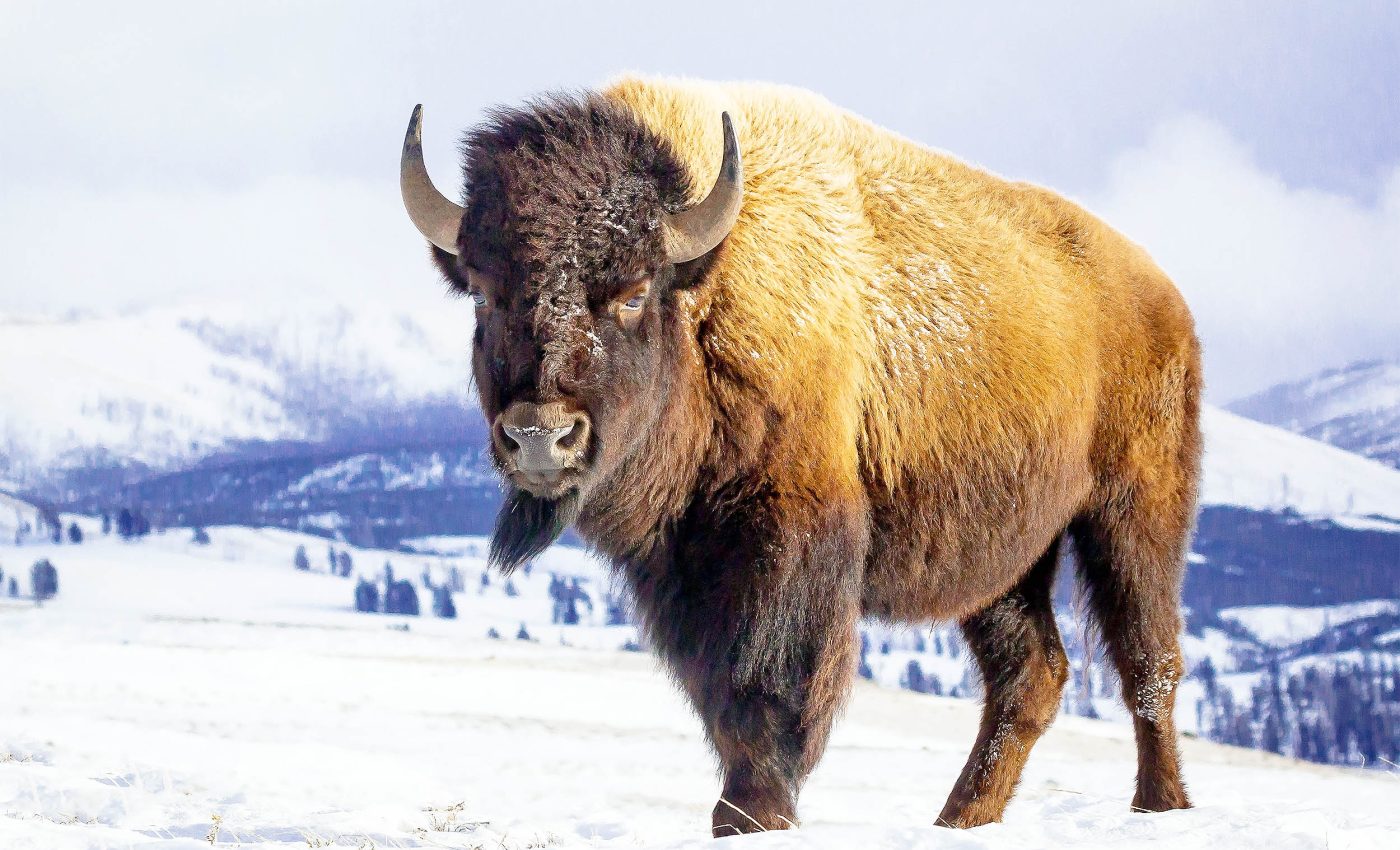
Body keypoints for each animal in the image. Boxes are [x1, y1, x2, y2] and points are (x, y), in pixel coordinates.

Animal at [400, 77, 1201, 836]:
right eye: (483, 294)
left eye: (630, 292)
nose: (540, 435)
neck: (705, 292)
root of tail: (1165, 296)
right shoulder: (683, 569)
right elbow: (720, 696)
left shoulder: (787, 541)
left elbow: (768, 688)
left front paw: (750, 816)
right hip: (1004, 561)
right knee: (1030, 674)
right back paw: (960, 817)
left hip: (1131, 516)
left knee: (1149, 663)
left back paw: (1159, 807)